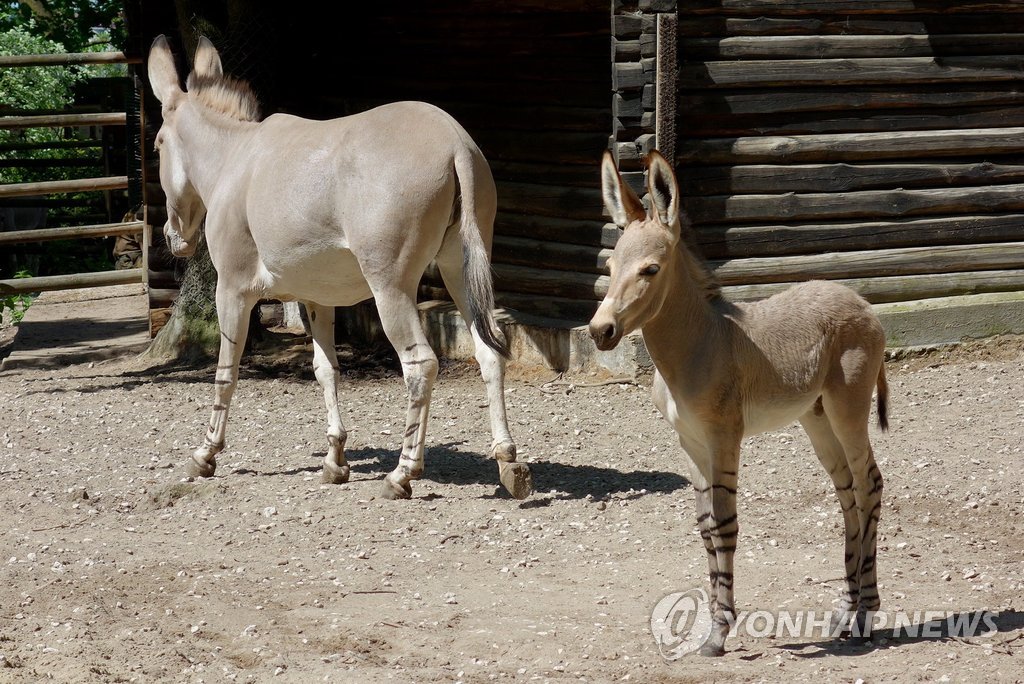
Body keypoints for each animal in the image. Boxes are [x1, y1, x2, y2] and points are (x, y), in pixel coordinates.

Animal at [593, 150, 888, 655]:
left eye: (650, 270)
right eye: (610, 269)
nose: (599, 331)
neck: (699, 344)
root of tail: (863, 303)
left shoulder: (724, 437)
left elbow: (725, 523)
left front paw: (719, 632)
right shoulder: (690, 443)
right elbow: (706, 527)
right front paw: (711, 623)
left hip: (848, 408)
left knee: (870, 485)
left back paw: (867, 616)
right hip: (817, 418)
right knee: (848, 491)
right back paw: (845, 614)